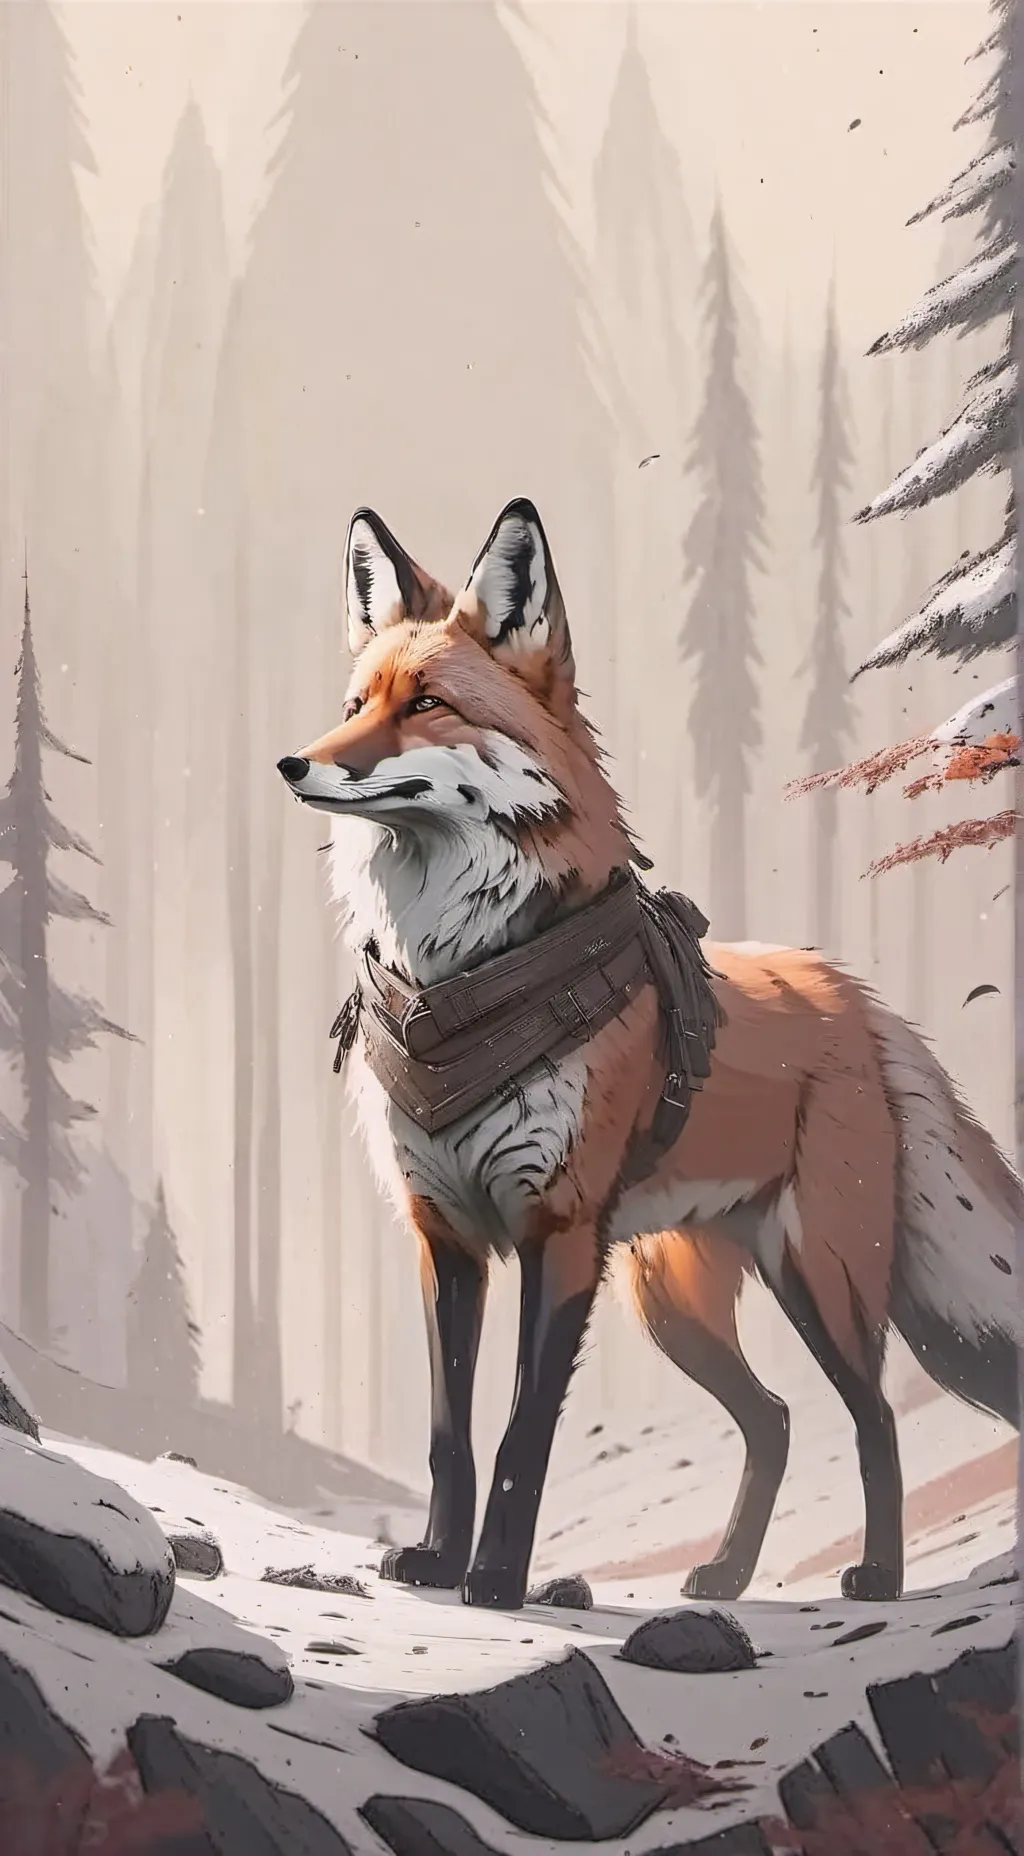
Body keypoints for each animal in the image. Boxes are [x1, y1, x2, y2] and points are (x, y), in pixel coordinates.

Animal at [278, 496, 1023, 1612]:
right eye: (355, 701)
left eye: (428, 705)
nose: (294, 763)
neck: (456, 988)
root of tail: (853, 994)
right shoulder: (444, 1233)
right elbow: (451, 1434)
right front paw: (438, 1562)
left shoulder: (559, 1228)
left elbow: (521, 1435)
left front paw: (495, 1579)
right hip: (672, 1303)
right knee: (776, 1420)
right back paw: (725, 1573)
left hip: (820, 1274)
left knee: (874, 1417)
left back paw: (879, 1576)